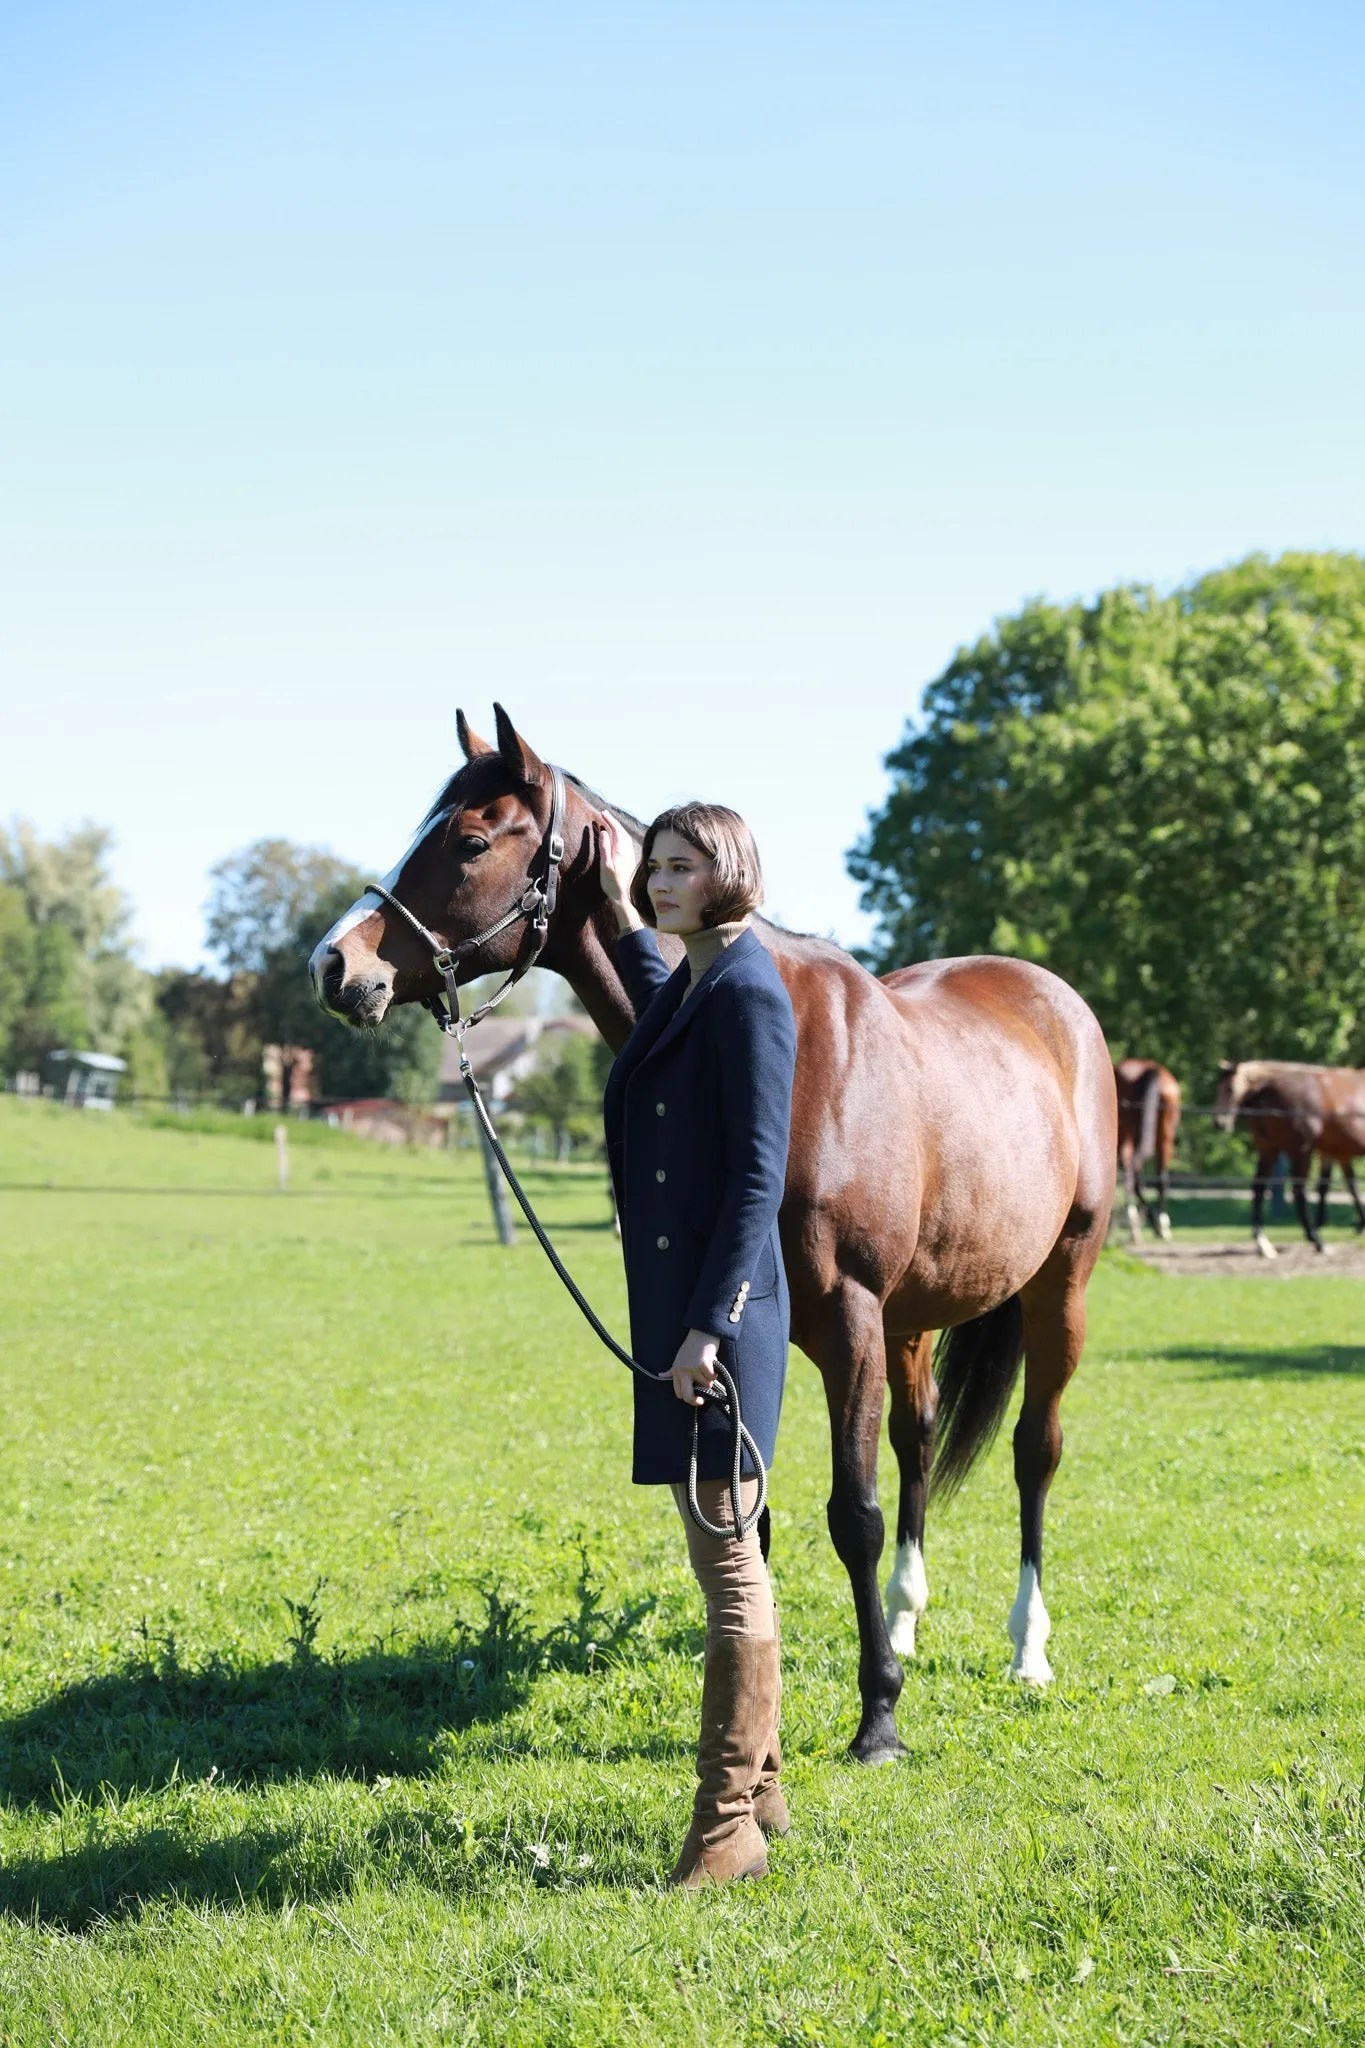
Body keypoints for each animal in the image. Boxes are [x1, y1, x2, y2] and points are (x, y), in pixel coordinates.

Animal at [304, 708, 1113, 1761]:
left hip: (1057, 1285)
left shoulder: (847, 1322)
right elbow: (746, 1517)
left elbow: (850, 1514)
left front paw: (878, 1718)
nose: (335, 965)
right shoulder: (739, 1342)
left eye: (472, 841)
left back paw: (1026, 1648)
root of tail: (1056, 1002)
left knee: (1032, 1450)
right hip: (912, 1320)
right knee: (919, 1435)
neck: (800, 1059)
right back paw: (903, 1617)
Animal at [1219, 1064, 1365, 1253]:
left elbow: (1340, 1187)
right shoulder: (1329, 1153)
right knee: (1299, 1190)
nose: (1219, 1122)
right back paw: (1316, 1240)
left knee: (1259, 1187)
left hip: (1269, 1150)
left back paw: (1262, 1241)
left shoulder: (1335, 1154)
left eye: (1229, 1088)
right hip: (1299, 1152)